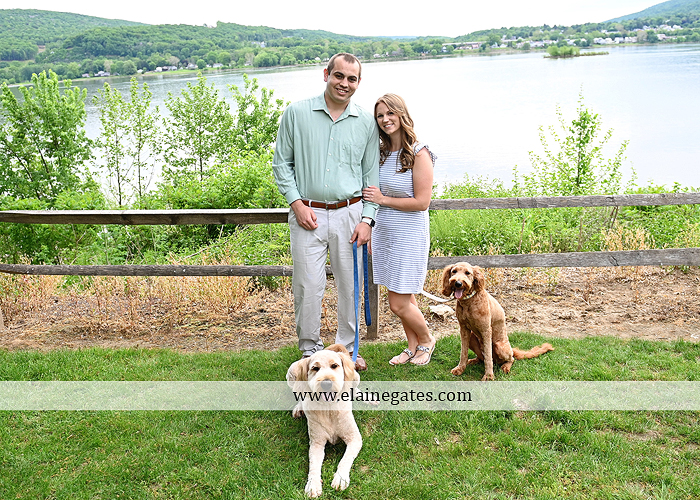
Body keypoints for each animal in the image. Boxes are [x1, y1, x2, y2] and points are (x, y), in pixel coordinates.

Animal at [286, 344, 362, 498]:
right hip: (292, 373)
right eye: (315, 368)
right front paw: (313, 485)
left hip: (356, 376)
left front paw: (340, 478)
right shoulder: (316, 443)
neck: (328, 408)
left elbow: (345, 459)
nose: (326, 383)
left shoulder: (355, 438)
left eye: (334, 365)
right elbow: (314, 466)